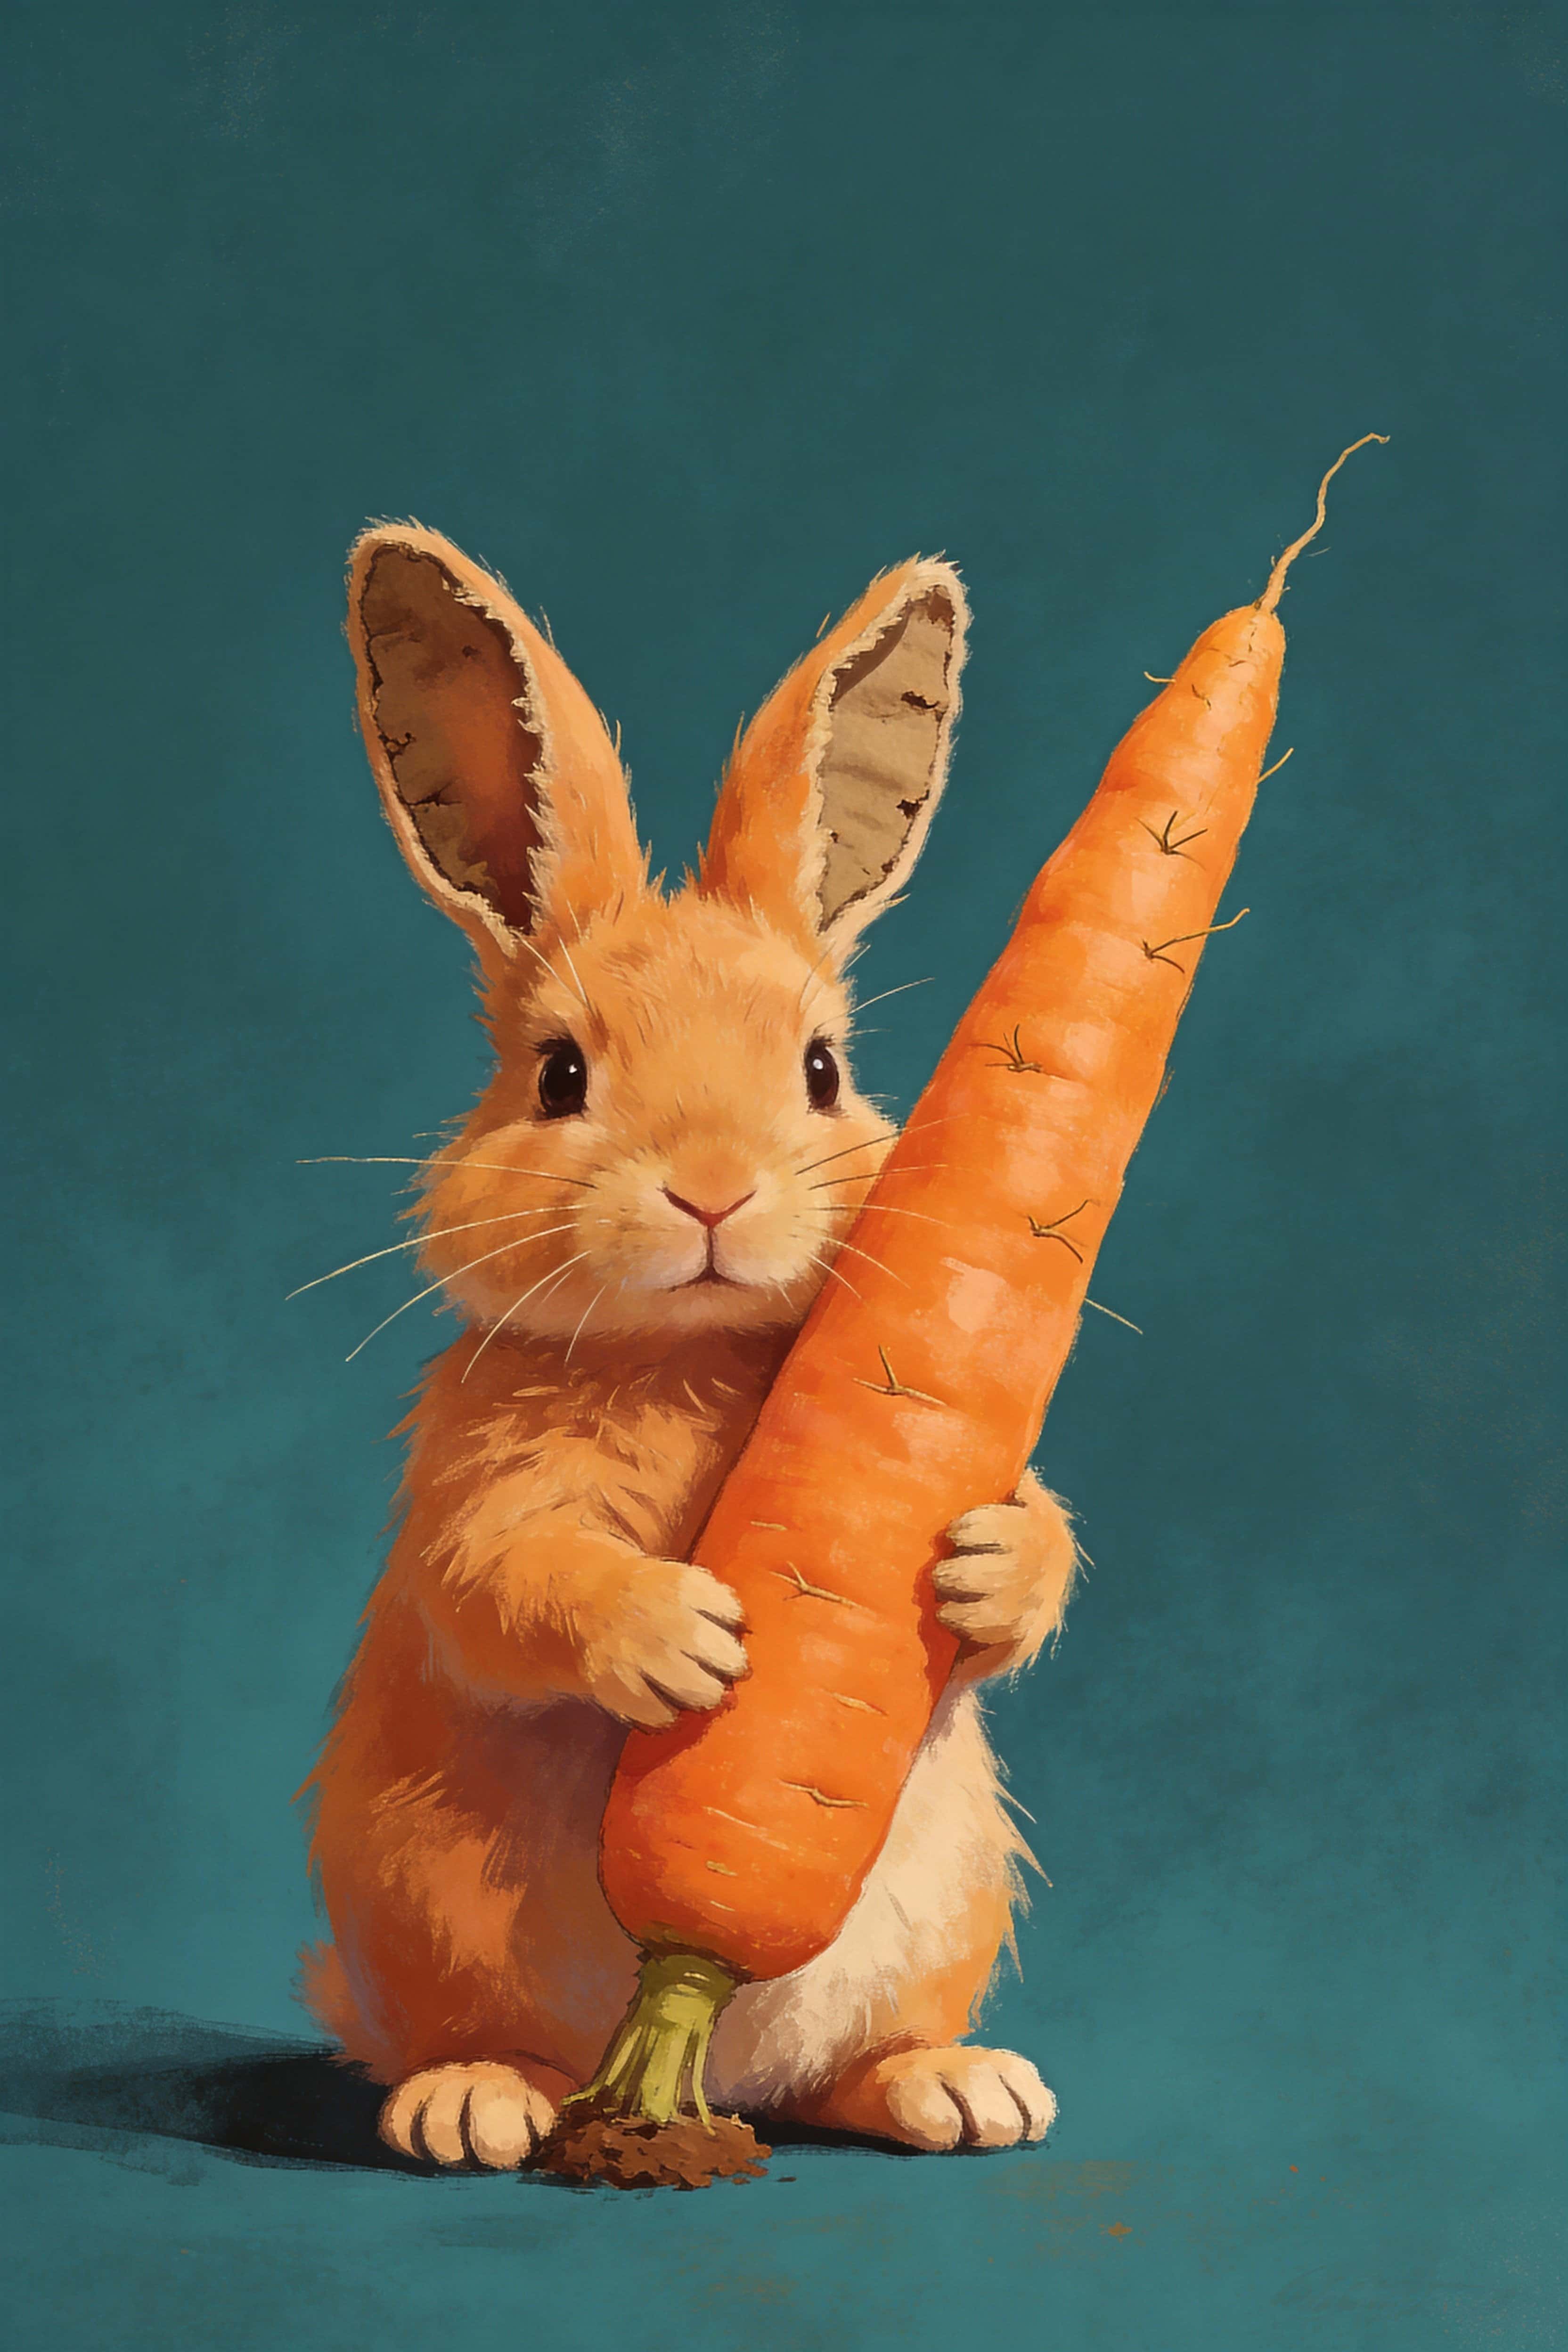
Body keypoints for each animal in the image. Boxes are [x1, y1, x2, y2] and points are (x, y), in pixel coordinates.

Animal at [298, 525, 1081, 2168]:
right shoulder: (474, 1492)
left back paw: (964, 2087)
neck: (691, 1353)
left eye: (822, 1067)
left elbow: (1029, 1541)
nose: (712, 1190)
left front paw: (987, 1563)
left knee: (856, 2070)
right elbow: (514, 1583)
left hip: (945, 1903)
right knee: (473, 2048)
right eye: (558, 1074)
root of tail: (708, 2051)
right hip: (429, 1917)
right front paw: (687, 1639)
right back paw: (474, 2104)